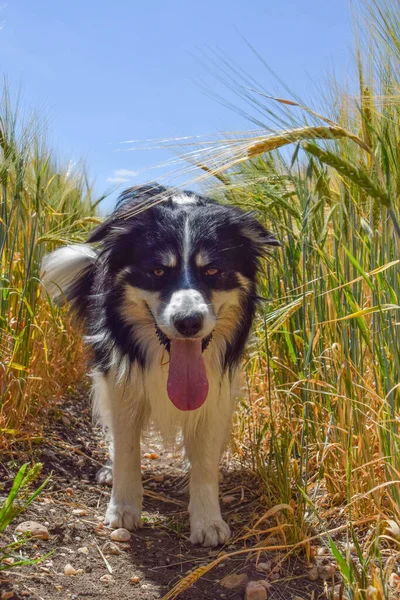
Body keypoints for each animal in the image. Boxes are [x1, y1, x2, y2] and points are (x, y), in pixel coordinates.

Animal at [40, 185, 278, 548]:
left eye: (213, 271)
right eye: (157, 271)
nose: (188, 323)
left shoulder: (218, 388)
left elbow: (205, 458)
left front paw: (208, 520)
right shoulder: (120, 377)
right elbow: (127, 446)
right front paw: (123, 508)